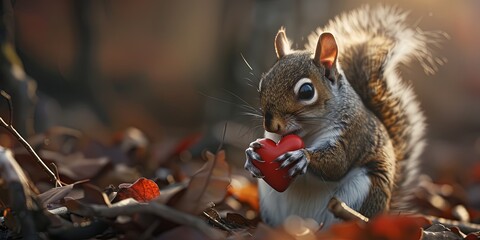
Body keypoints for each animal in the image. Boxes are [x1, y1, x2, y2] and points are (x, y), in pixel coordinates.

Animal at [246, 5, 444, 227]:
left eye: (306, 91)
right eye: (263, 83)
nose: (271, 124)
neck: (306, 132)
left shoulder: (353, 133)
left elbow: (338, 162)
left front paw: (302, 156)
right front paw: (251, 153)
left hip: (363, 192)